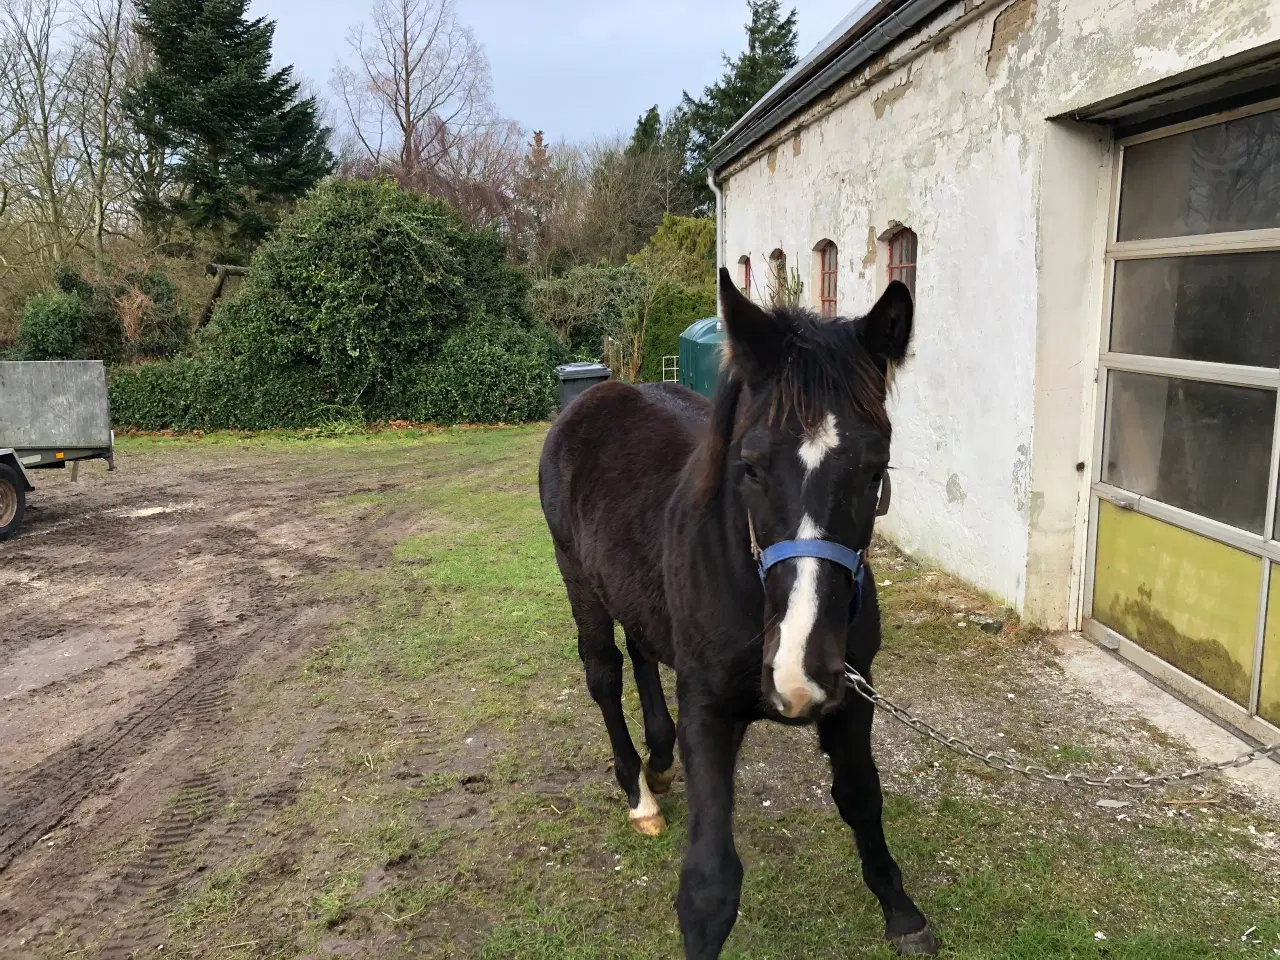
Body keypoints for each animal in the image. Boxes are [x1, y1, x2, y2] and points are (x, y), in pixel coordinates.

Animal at [540, 267, 942, 957]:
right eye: (749, 467)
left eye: (875, 470)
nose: (798, 672)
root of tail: (592, 401)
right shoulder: (708, 707)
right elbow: (709, 885)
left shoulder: (855, 692)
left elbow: (860, 796)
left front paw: (901, 910)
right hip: (580, 584)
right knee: (604, 673)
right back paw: (638, 792)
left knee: (642, 651)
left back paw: (660, 764)